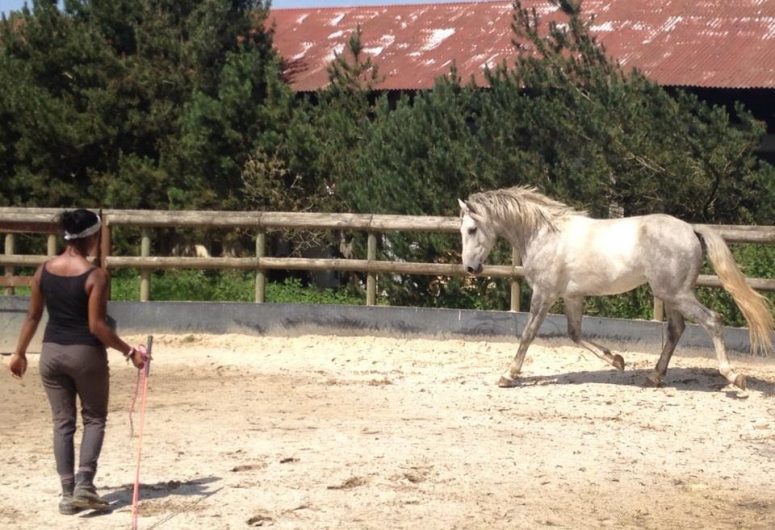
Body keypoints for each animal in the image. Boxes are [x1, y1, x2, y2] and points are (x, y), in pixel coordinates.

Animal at [458, 186, 772, 388]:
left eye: (472, 229)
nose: (470, 268)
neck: (544, 234)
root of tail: (691, 229)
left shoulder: (543, 295)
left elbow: (528, 334)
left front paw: (508, 375)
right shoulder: (572, 296)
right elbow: (575, 334)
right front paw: (617, 360)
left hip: (676, 294)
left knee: (712, 321)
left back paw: (733, 376)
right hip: (670, 294)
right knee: (676, 329)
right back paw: (654, 377)